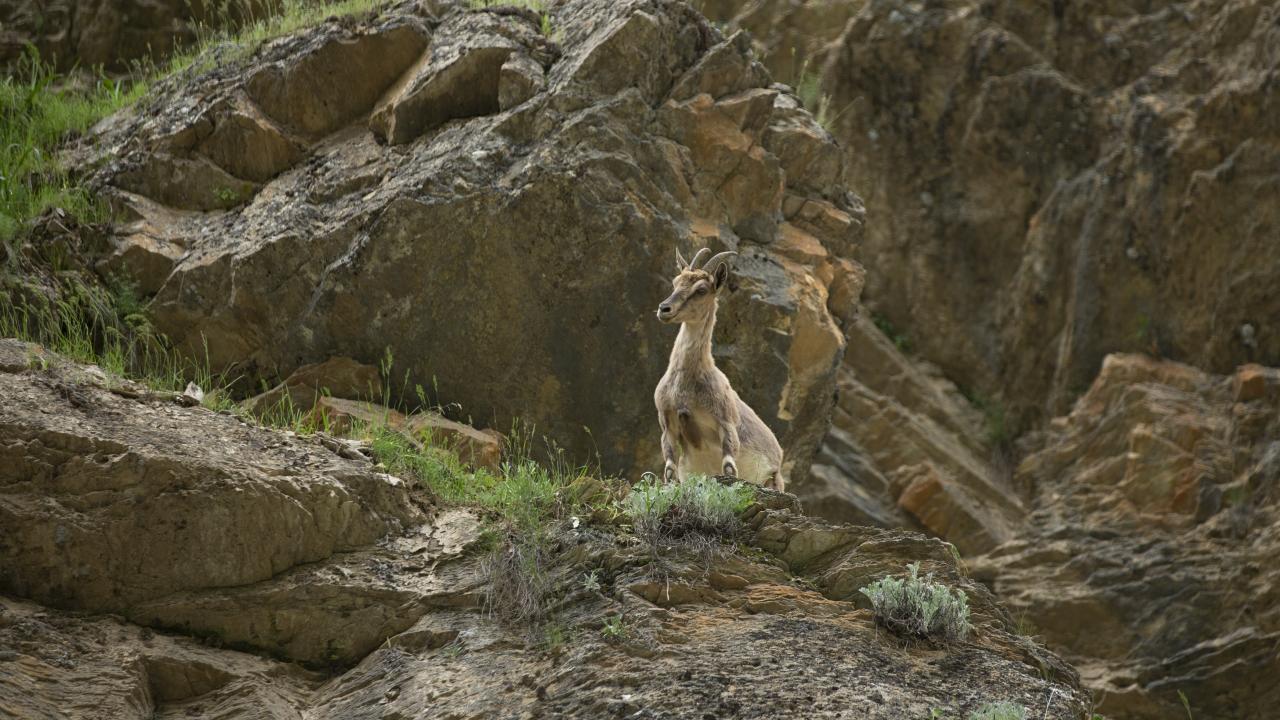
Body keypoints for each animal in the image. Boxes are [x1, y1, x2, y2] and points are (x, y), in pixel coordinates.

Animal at [654, 248, 785, 491]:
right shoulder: (667, 424)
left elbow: (729, 469)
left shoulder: (726, 422)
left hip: (775, 478)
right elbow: (669, 471)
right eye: (676, 282)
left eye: (701, 290)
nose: (664, 309)